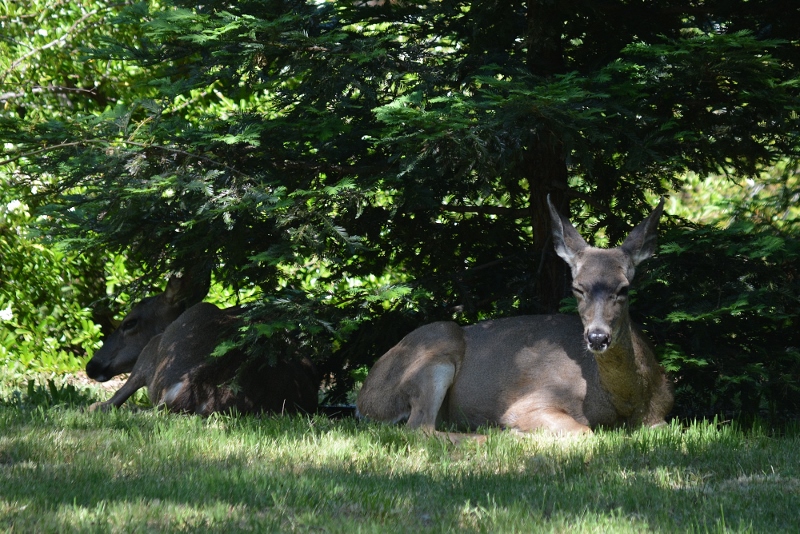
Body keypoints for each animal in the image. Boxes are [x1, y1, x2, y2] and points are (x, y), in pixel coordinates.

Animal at [354, 198, 672, 440]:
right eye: (577, 288)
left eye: (624, 288)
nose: (597, 337)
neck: (628, 402)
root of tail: (362, 400)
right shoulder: (534, 400)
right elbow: (584, 431)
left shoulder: (661, 415)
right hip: (436, 350)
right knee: (419, 428)